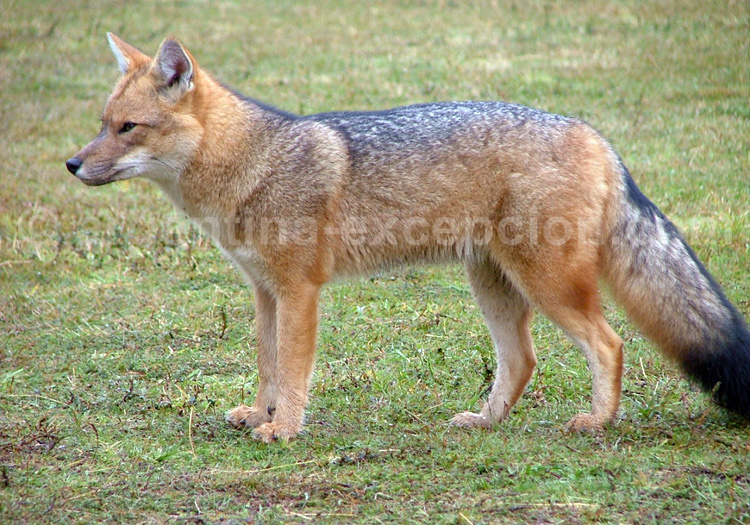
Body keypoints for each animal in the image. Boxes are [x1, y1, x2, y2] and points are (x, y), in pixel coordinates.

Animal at [66, 34, 750, 443]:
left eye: (128, 128)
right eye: (102, 124)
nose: (72, 165)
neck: (253, 163)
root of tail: (594, 134)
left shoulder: (300, 291)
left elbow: (291, 370)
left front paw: (284, 429)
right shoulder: (264, 292)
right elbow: (266, 366)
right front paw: (261, 414)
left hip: (548, 284)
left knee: (609, 343)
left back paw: (597, 421)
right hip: (494, 286)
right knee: (522, 361)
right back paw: (485, 420)